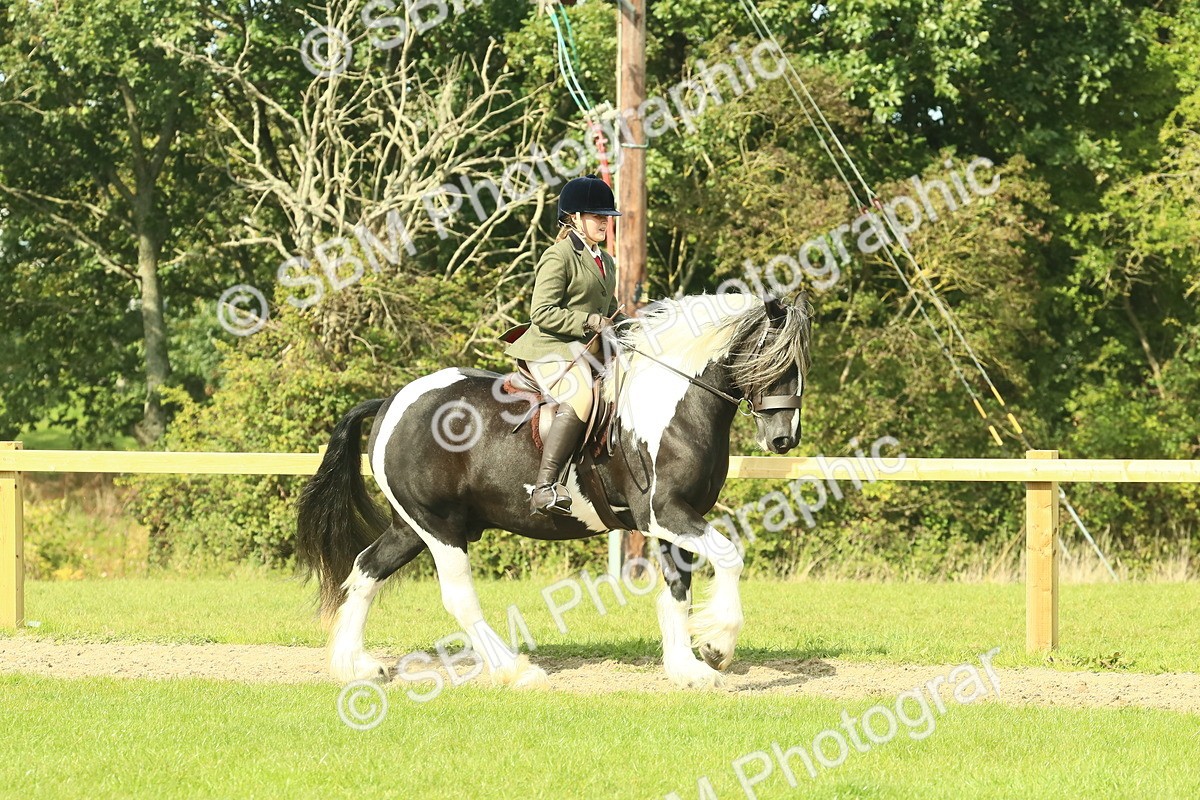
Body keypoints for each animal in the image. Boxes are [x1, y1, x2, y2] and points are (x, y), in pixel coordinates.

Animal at [296, 291, 813, 689]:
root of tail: (391, 401)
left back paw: (355, 667)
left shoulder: (675, 520)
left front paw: (687, 668)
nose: (783, 439)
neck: (672, 402)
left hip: (412, 527)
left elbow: (677, 590)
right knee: (457, 596)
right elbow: (729, 555)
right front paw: (717, 646)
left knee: (366, 570)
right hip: (439, 527)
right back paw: (516, 671)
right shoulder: (663, 512)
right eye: (775, 360)